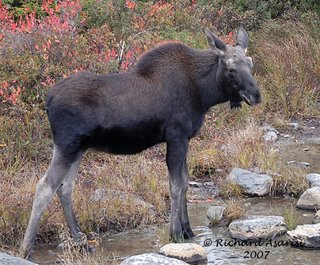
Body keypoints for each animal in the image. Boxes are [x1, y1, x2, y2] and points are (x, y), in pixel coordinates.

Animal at [20, 27, 260, 258]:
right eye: (231, 69)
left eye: (250, 64)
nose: (256, 95)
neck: (204, 93)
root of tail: (48, 100)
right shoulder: (176, 136)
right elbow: (176, 185)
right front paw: (175, 233)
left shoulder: (184, 139)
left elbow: (184, 181)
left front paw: (188, 230)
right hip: (67, 145)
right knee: (45, 186)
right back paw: (26, 248)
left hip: (78, 148)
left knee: (65, 188)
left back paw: (82, 242)